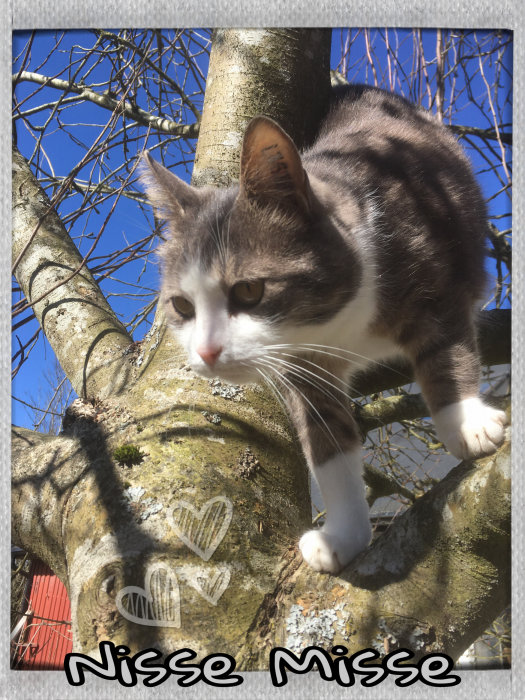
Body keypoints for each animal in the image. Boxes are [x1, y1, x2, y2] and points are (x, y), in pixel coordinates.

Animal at [140, 85, 508, 572]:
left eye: (250, 290)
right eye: (182, 305)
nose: (207, 352)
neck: (338, 325)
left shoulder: (435, 279)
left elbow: (444, 352)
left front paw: (466, 423)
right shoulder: (302, 371)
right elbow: (327, 442)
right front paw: (343, 535)